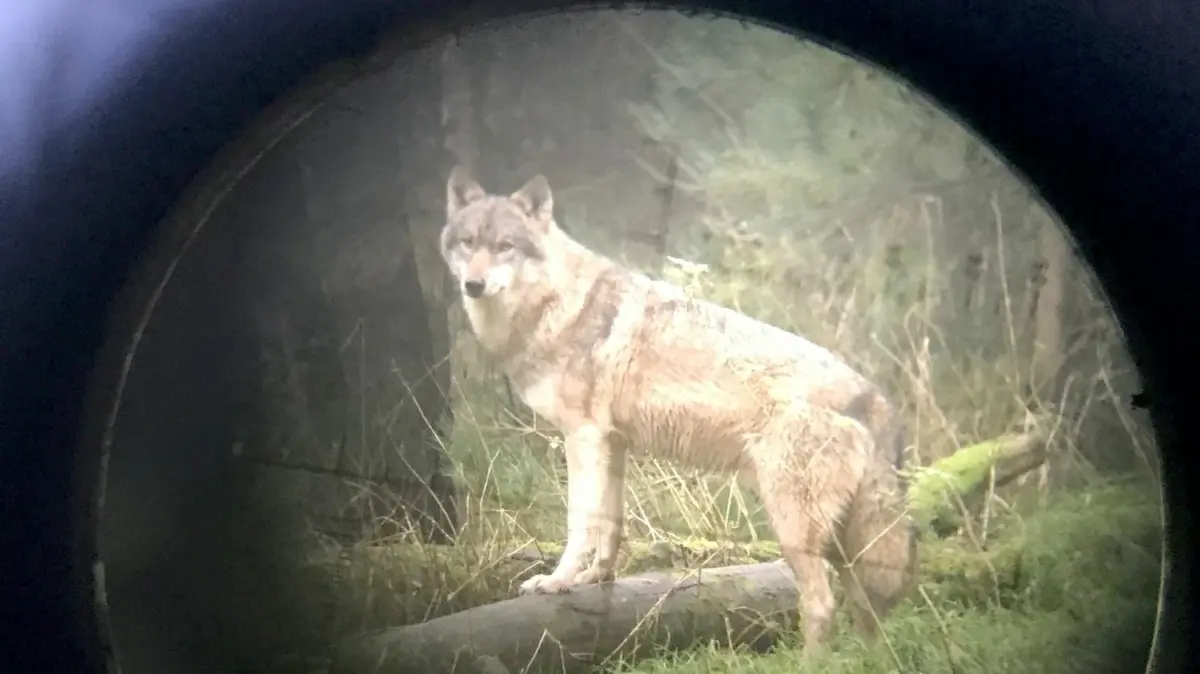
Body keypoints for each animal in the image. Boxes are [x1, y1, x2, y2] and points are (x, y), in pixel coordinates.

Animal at [438, 166, 918, 650]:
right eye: (468, 243)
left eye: (505, 246)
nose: (473, 285)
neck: (555, 305)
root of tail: (873, 395)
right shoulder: (614, 444)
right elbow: (611, 524)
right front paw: (597, 578)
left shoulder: (583, 437)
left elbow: (580, 523)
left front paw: (557, 582)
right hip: (841, 545)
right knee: (867, 612)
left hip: (795, 530)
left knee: (823, 606)